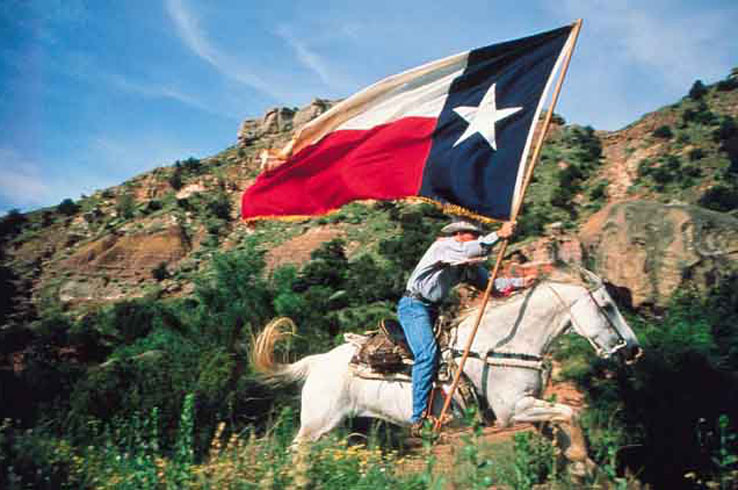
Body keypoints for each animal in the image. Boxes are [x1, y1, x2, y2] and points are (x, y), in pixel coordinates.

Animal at [252, 266, 640, 472]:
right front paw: (583, 464)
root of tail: (317, 361)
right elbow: (570, 414)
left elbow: (563, 425)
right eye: (607, 306)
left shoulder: (532, 407)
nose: (634, 349)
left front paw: (580, 466)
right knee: (295, 458)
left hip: (352, 428)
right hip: (315, 426)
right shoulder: (514, 410)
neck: (499, 345)